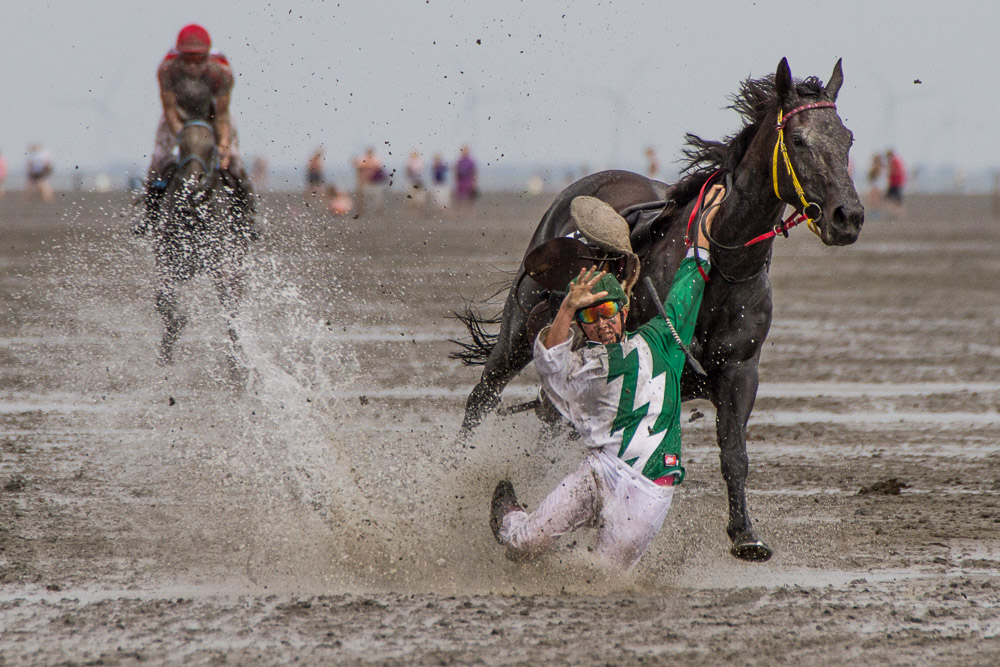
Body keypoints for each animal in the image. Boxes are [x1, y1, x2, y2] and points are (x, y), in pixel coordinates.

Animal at [458, 58, 864, 564]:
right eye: (799, 140)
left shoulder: (740, 372)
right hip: (517, 333)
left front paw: (745, 534)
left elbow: (734, 452)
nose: (848, 216)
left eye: (847, 138)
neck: (724, 271)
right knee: (480, 399)